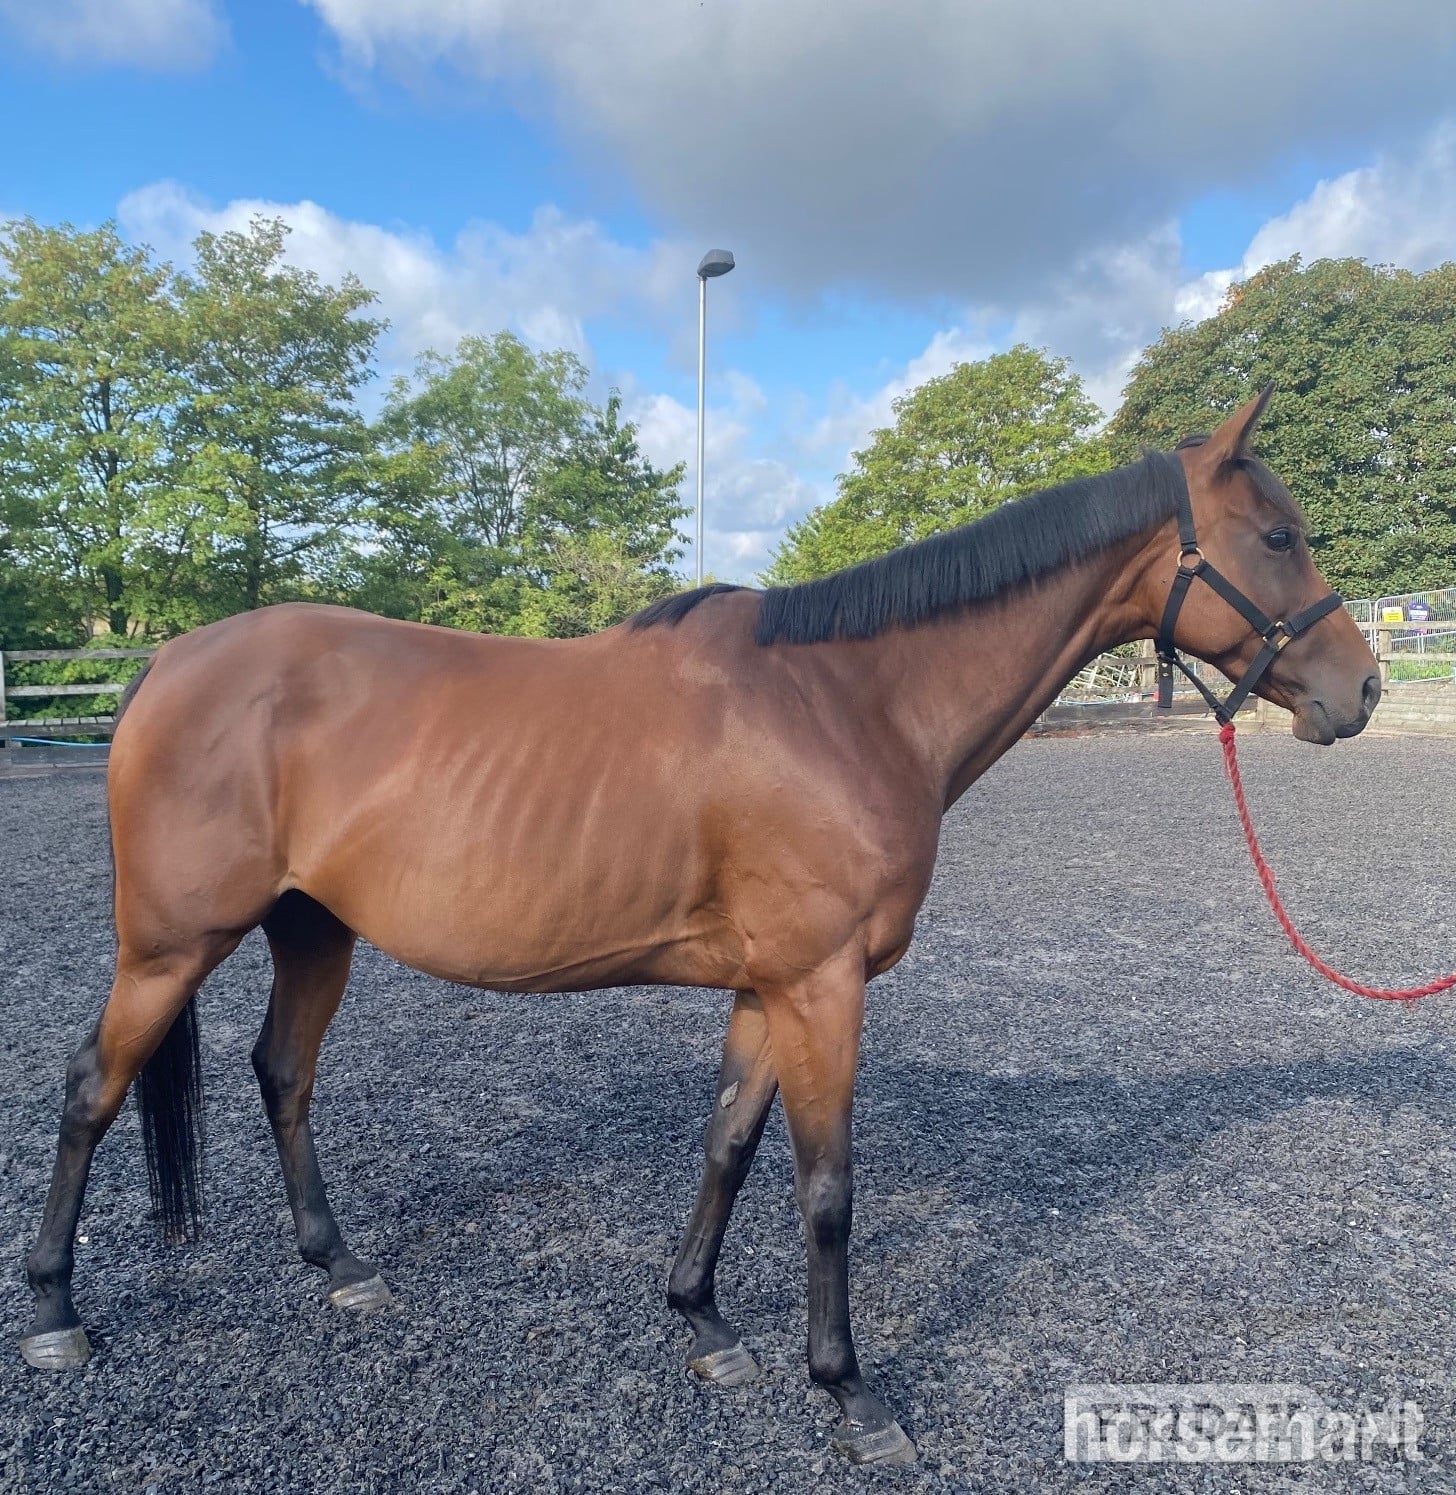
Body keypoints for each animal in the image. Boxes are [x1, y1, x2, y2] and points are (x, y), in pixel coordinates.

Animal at [20, 390, 1379, 1465]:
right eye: (1278, 535)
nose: (1358, 690)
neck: (850, 700)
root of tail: (168, 664)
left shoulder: (768, 986)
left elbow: (727, 1144)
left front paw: (706, 1323)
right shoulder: (824, 984)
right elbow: (825, 1188)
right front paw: (851, 1394)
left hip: (312, 929)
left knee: (281, 1070)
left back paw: (337, 1264)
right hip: (170, 946)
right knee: (93, 1089)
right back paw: (53, 1314)